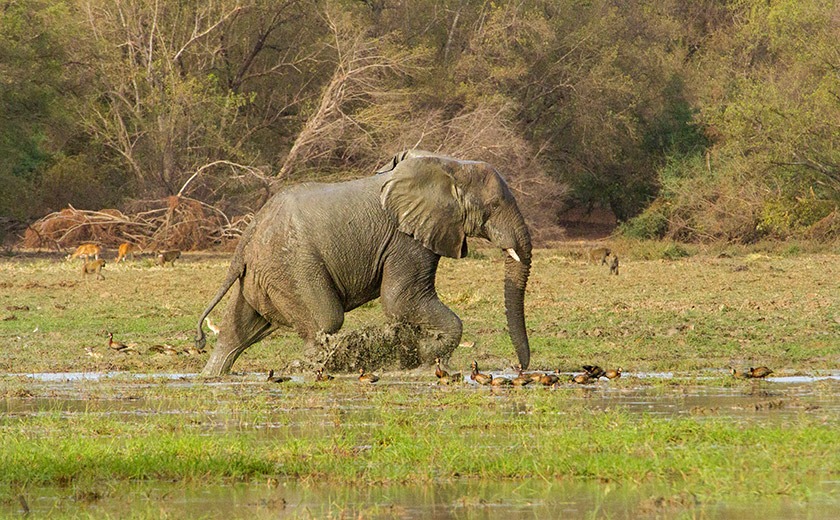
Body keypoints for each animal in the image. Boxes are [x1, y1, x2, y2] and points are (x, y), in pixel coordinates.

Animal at [195, 148, 532, 376]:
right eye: (494, 205)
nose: (520, 367)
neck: (449, 166)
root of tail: (248, 235)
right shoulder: (404, 238)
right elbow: (400, 300)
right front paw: (423, 358)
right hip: (291, 266)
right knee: (325, 321)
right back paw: (313, 369)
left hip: (262, 273)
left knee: (235, 332)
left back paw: (212, 375)